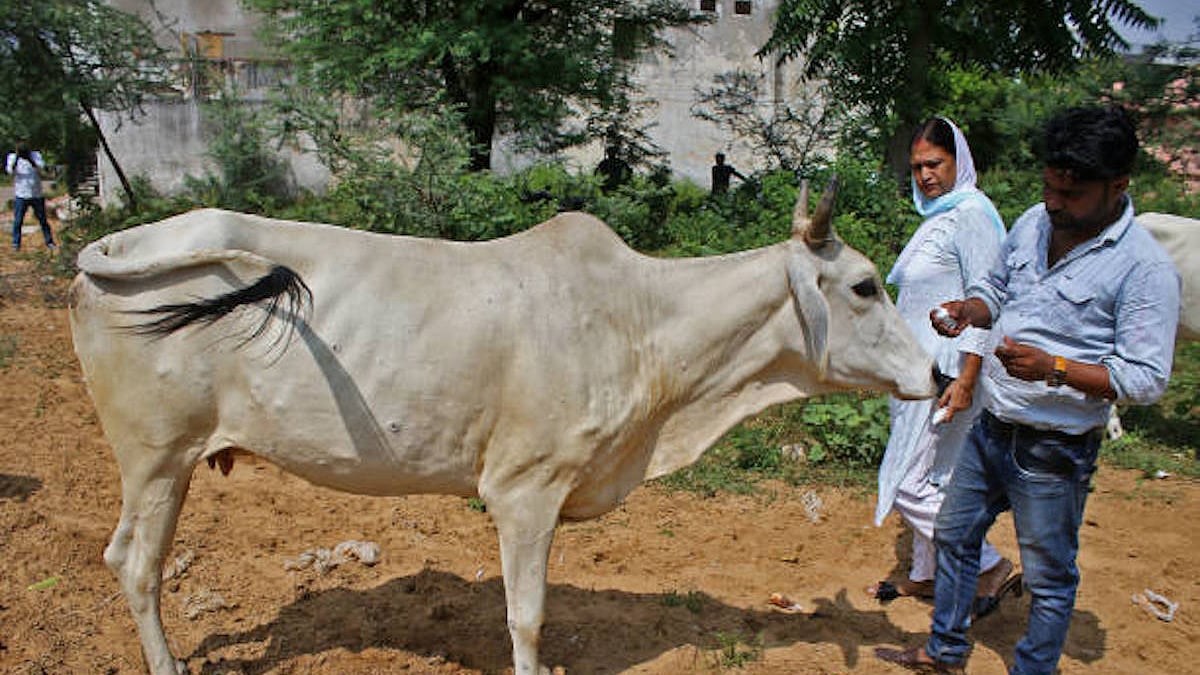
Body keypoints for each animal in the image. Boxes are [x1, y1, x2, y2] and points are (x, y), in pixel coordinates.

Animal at [68, 181, 936, 675]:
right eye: (864, 285)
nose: (934, 372)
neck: (641, 323)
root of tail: (108, 249)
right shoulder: (524, 488)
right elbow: (527, 615)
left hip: (173, 462)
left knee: (127, 556)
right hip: (155, 455)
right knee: (136, 564)